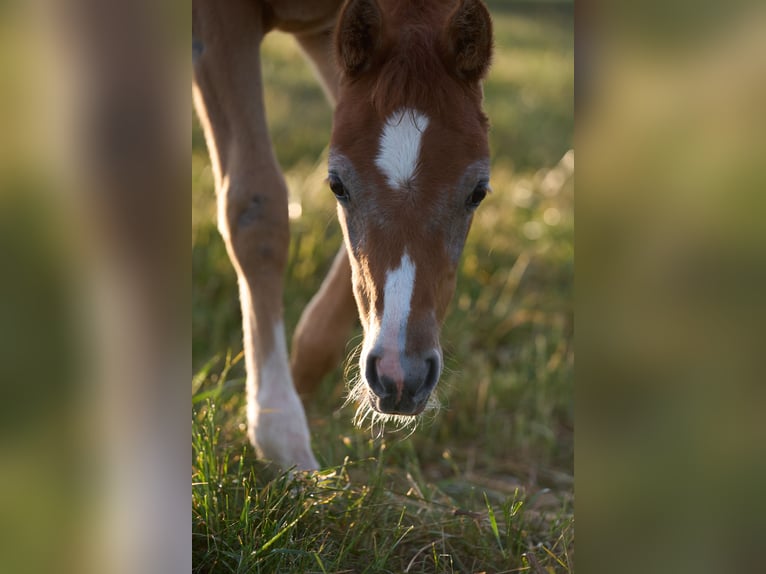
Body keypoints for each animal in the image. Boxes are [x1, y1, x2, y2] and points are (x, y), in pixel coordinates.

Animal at [192, 0, 494, 470]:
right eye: (337, 185)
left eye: (478, 192)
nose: (401, 378)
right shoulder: (217, 24)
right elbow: (255, 205)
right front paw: (281, 433)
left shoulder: (330, 35)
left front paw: (301, 381)